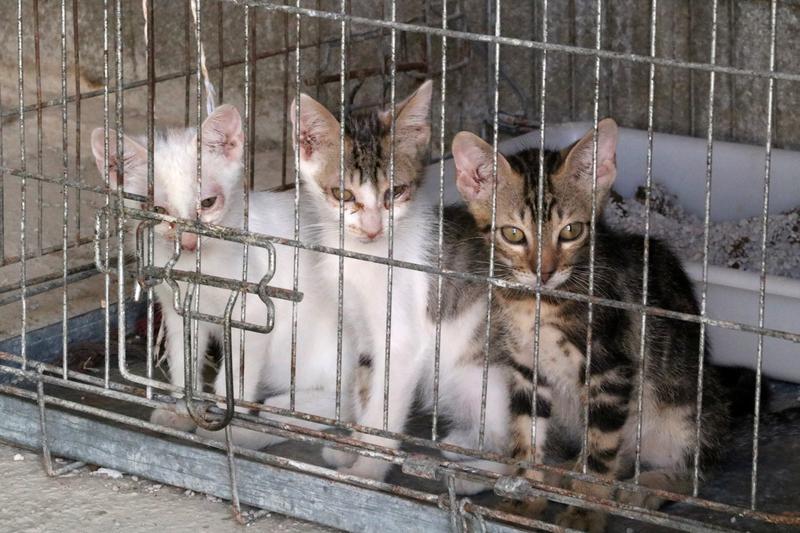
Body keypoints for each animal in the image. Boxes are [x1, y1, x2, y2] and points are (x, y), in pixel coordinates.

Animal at [290, 81, 516, 488]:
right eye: (343, 195)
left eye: (393, 192)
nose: (372, 229)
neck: (366, 257)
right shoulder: (363, 331)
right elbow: (366, 389)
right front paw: (352, 447)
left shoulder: (403, 337)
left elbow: (385, 406)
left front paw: (367, 470)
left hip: (490, 379)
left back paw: (475, 476)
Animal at [454, 120, 752, 532]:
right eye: (513, 234)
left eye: (571, 231)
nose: (544, 272)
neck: (540, 303)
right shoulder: (525, 368)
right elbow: (526, 437)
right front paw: (524, 499)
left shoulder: (610, 371)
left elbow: (600, 458)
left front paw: (583, 514)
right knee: (618, 450)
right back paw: (566, 470)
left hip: (685, 408)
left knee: (692, 471)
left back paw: (644, 489)